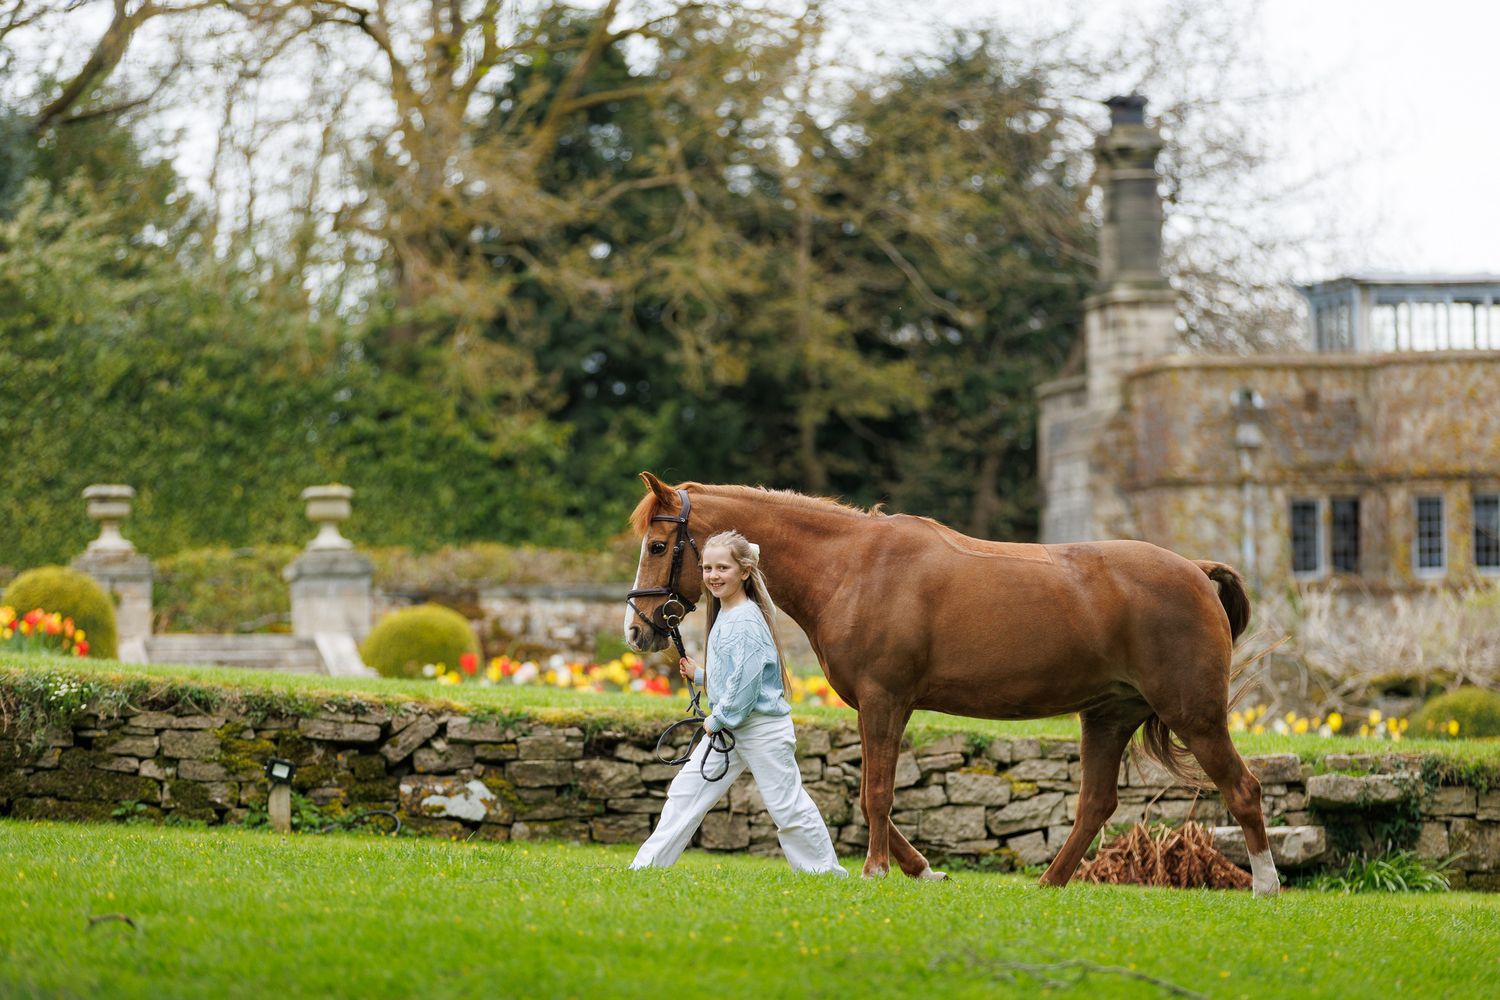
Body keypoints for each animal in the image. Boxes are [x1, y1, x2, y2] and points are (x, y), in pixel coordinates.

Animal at [623, 472, 1279, 897]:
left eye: (657, 544)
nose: (637, 629)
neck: (854, 567)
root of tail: (1195, 570)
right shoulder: (876, 706)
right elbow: (871, 796)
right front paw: (922, 870)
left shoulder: (885, 701)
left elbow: (876, 794)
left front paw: (878, 871)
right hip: (1107, 717)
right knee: (1096, 804)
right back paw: (1049, 883)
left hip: (1195, 715)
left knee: (1243, 789)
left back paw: (1266, 887)